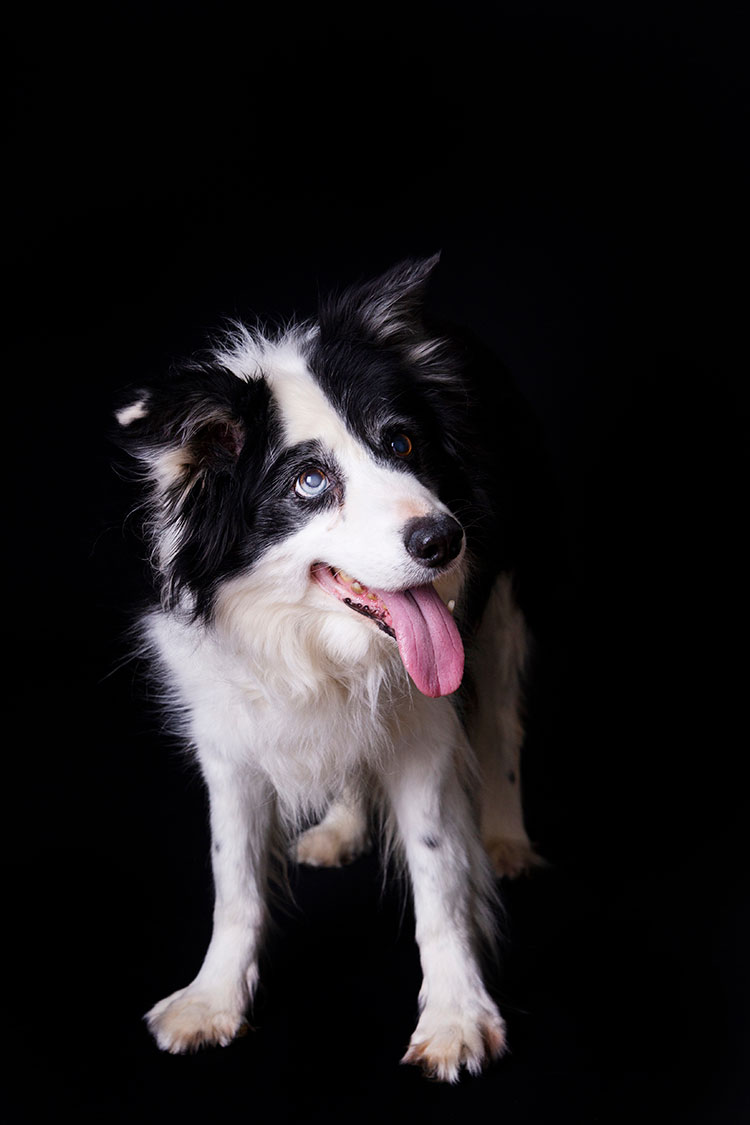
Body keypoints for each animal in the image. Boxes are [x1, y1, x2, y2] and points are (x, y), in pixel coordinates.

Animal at [114, 255, 541, 1080]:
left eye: (401, 444)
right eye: (309, 481)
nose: (443, 539)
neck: (316, 643)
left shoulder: (428, 729)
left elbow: (439, 875)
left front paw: (456, 1017)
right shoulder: (229, 733)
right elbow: (234, 878)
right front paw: (211, 999)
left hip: (502, 606)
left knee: (503, 722)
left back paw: (507, 836)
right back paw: (340, 827)